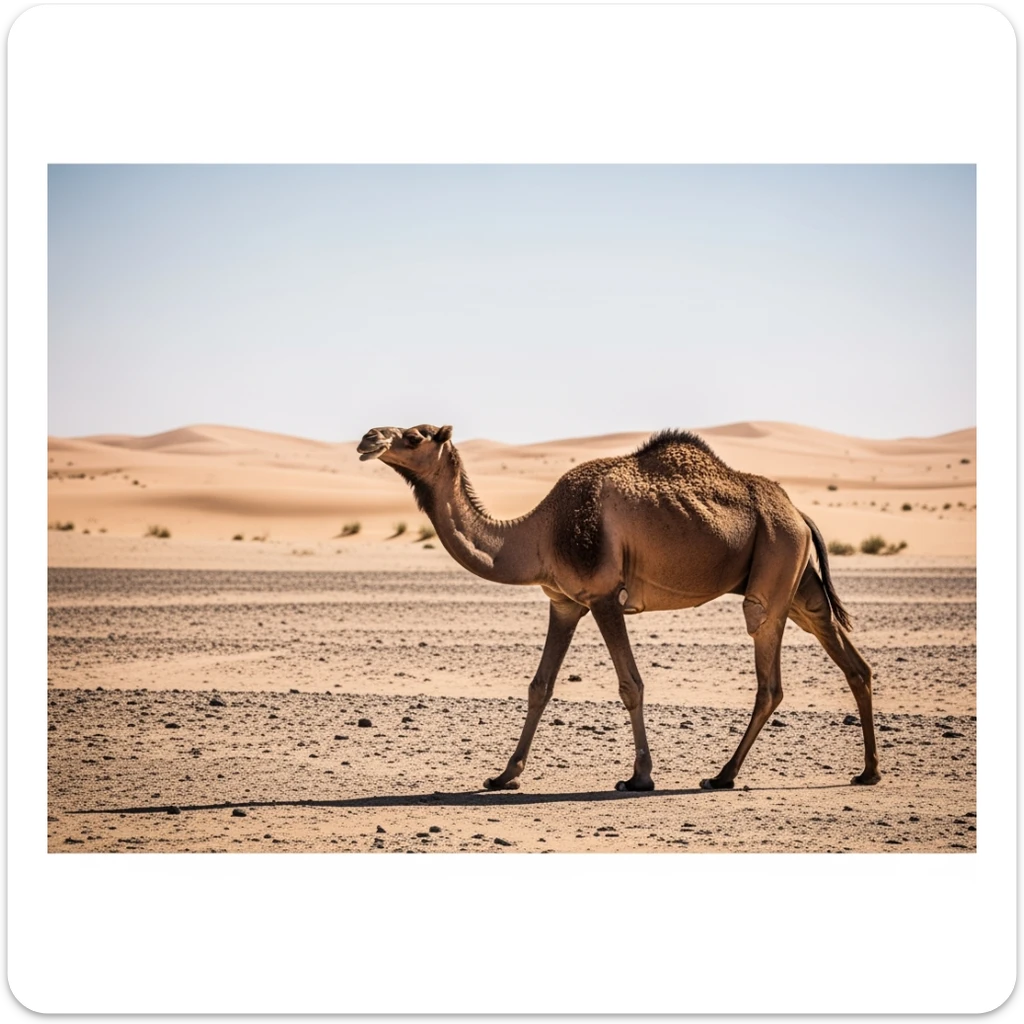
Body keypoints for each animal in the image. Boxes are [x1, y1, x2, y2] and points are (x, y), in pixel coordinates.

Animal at [357, 423, 880, 793]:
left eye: (414, 435)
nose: (367, 439)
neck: (539, 533)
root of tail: (798, 512)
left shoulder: (605, 596)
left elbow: (631, 685)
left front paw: (639, 777)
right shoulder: (564, 603)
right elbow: (539, 687)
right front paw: (504, 776)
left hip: (774, 564)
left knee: (768, 674)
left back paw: (723, 775)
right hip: (798, 581)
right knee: (853, 661)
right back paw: (868, 772)